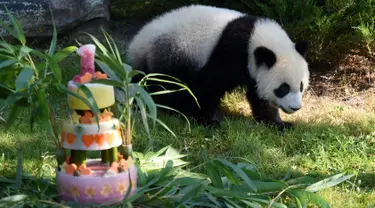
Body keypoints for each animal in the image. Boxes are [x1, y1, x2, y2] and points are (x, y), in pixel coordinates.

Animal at [128, 4, 310, 130]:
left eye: (301, 86)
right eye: (283, 88)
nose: (295, 107)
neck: (255, 37)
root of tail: (138, 42)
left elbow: (258, 95)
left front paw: (279, 124)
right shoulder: (231, 51)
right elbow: (210, 85)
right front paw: (206, 121)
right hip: (174, 53)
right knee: (167, 84)